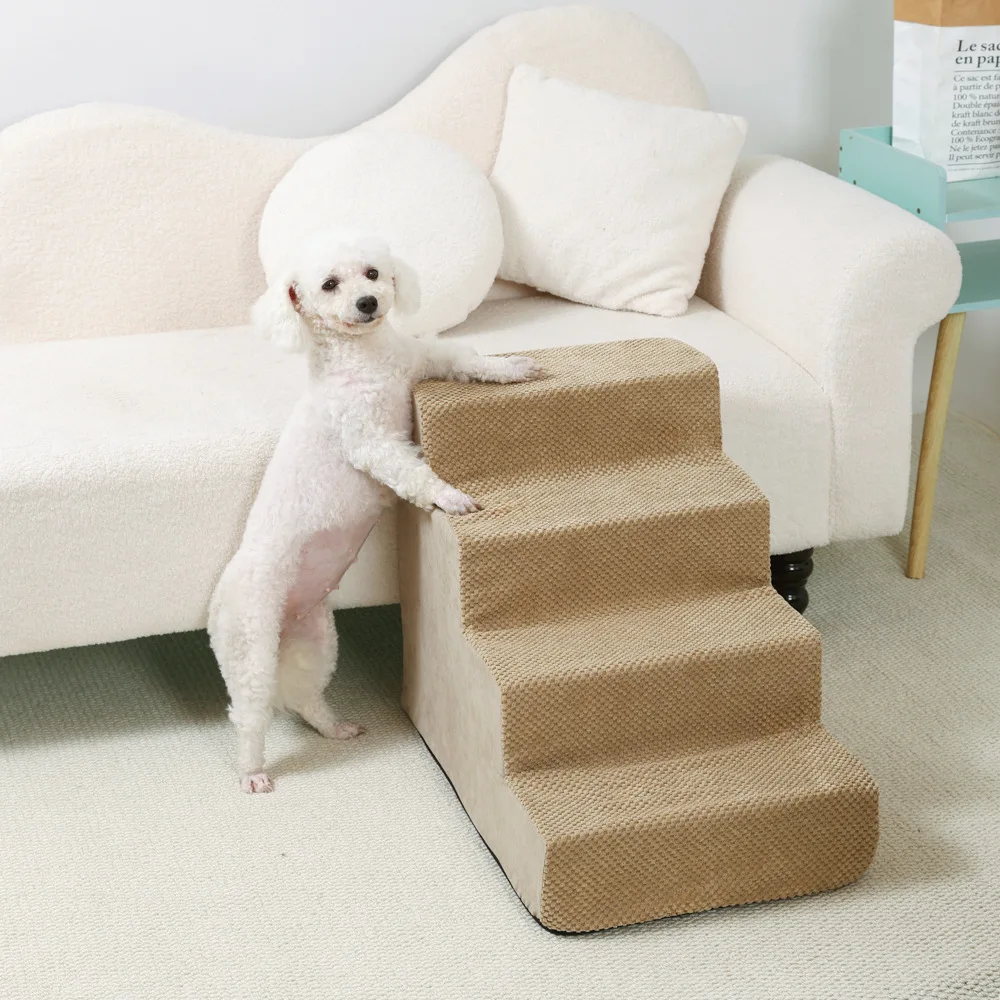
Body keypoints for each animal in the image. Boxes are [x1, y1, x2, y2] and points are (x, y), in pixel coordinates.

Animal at [208, 231, 541, 792]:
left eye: (372, 273)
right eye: (329, 284)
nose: (368, 303)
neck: (365, 358)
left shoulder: (421, 361)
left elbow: (464, 359)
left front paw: (512, 367)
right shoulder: (371, 441)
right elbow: (411, 472)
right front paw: (449, 497)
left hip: (315, 640)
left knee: (306, 697)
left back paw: (333, 727)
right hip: (251, 649)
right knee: (249, 715)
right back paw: (252, 771)